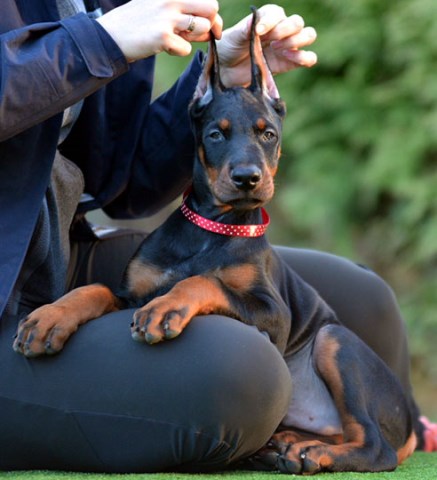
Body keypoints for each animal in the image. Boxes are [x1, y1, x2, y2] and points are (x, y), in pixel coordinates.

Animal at [13, 9, 416, 474]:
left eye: (268, 134)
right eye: (215, 135)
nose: (247, 179)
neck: (214, 229)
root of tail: (409, 423)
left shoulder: (274, 313)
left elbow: (204, 281)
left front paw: (166, 309)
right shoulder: (131, 292)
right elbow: (93, 287)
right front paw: (49, 318)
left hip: (335, 340)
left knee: (375, 447)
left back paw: (314, 454)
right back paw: (285, 445)